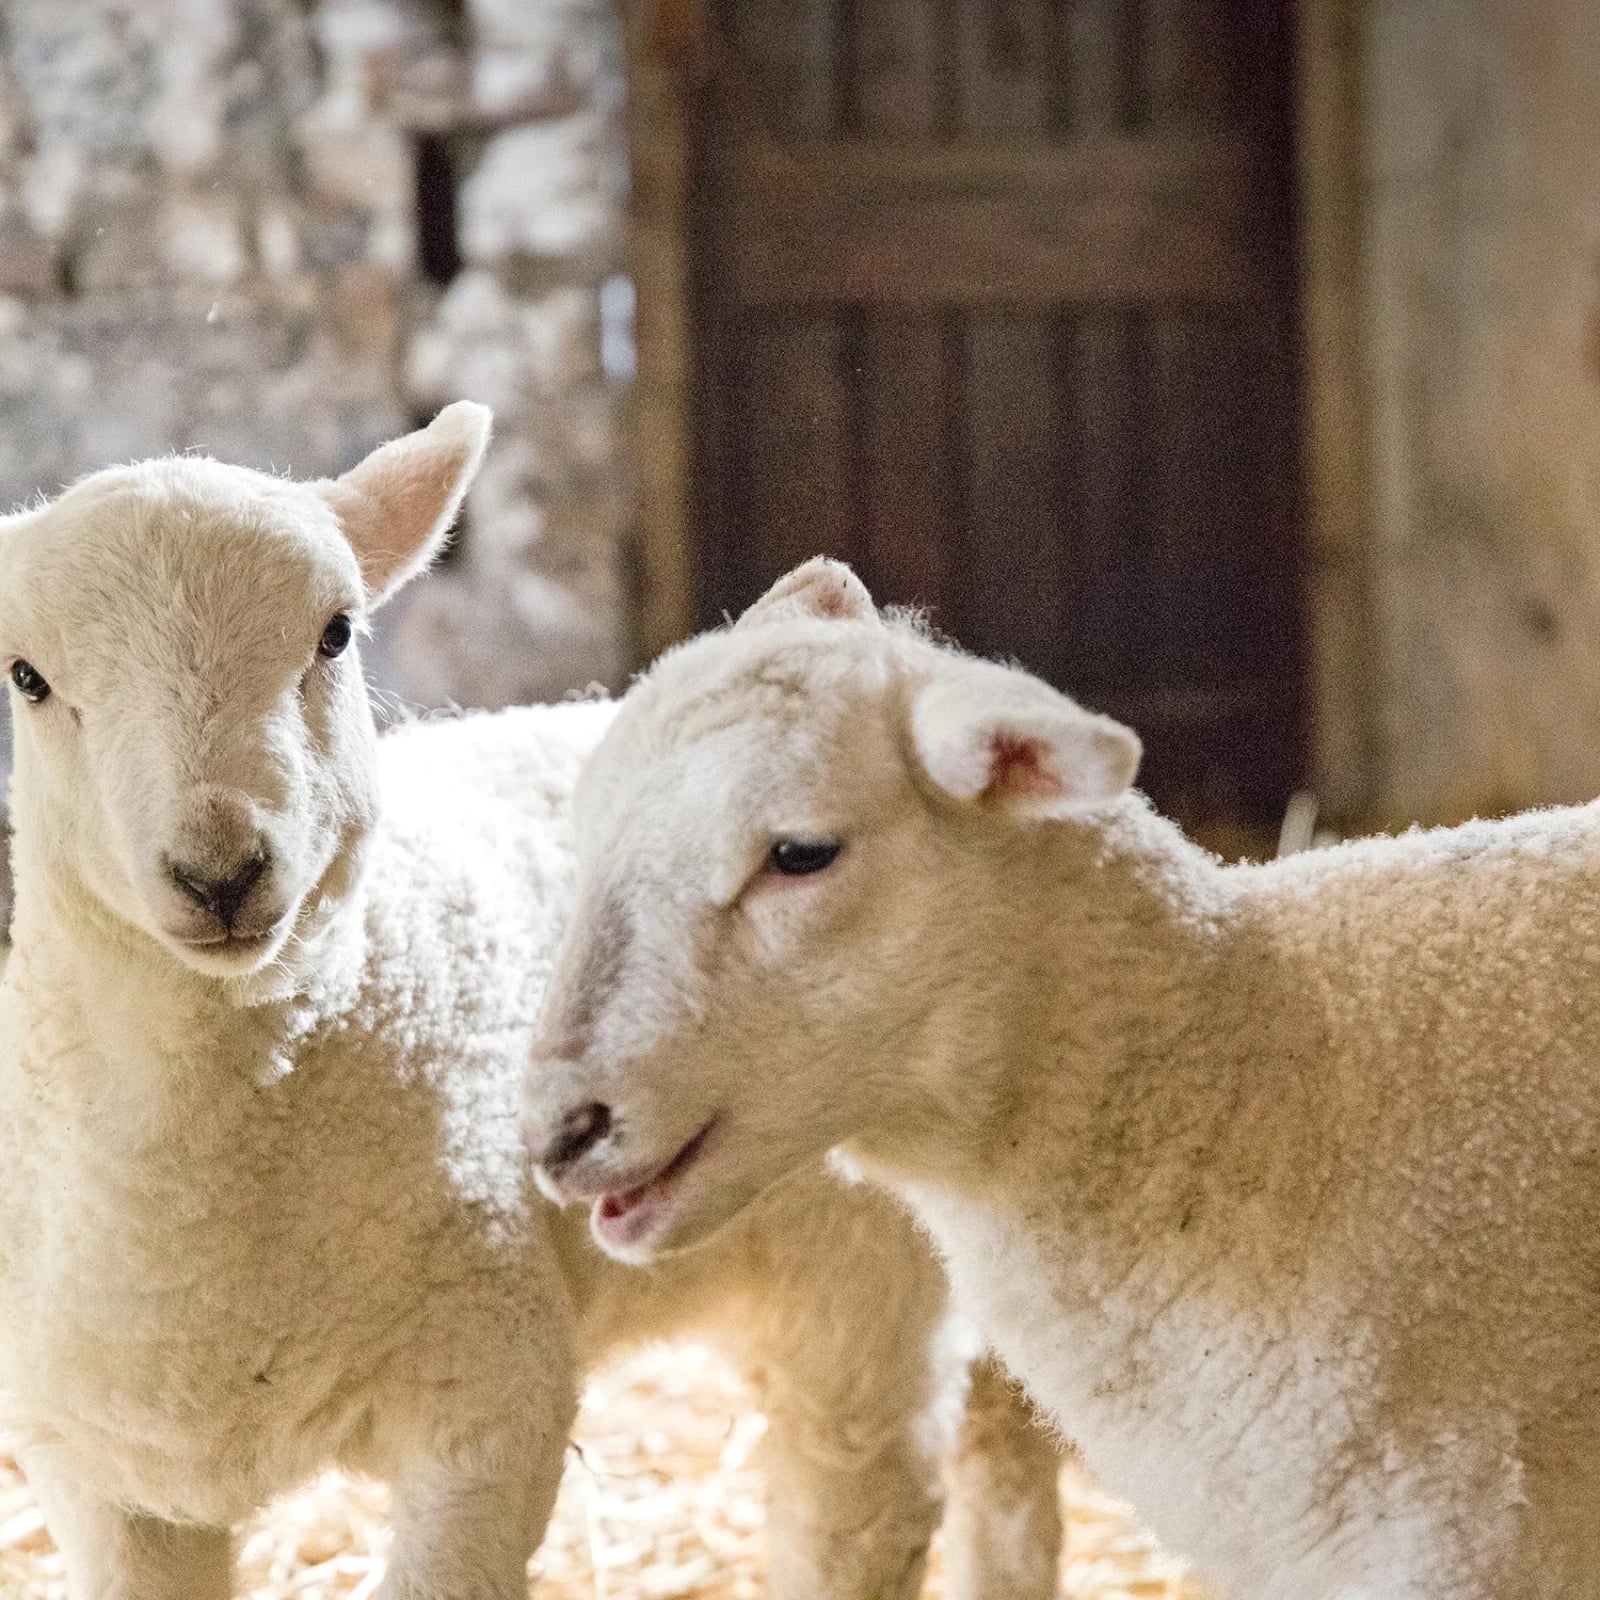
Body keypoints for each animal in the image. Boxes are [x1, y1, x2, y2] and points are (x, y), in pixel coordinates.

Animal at [0, 434, 1060, 1600]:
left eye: (335, 633)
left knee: (865, 1503)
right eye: (28, 677)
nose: (221, 872)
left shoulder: (487, 1402)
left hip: (858, 1269)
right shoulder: (98, 1473)